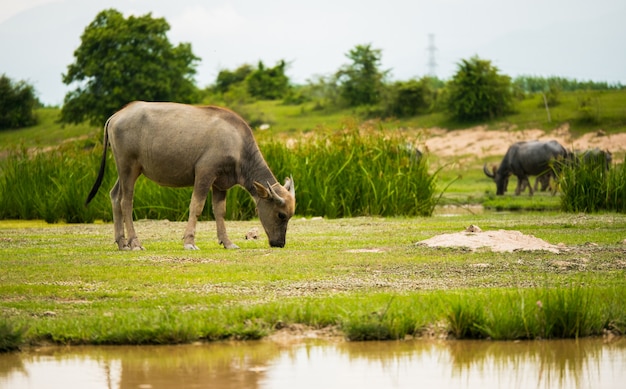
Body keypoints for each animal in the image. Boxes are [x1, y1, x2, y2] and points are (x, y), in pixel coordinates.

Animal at [84, 100, 294, 250]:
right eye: (281, 215)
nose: (279, 243)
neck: (237, 143)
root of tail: (116, 115)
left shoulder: (220, 184)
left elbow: (220, 211)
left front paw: (227, 242)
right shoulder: (204, 174)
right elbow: (197, 207)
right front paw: (189, 242)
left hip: (126, 170)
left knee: (114, 195)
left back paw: (122, 243)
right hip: (129, 167)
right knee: (126, 202)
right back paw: (135, 243)